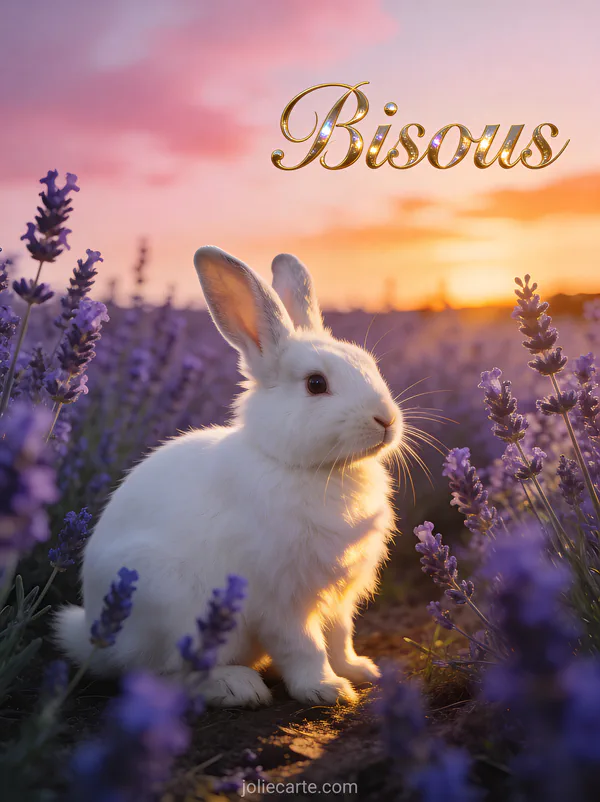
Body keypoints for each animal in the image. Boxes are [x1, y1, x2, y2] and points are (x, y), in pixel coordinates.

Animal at [55, 246, 402, 708]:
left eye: (369, 365)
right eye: (316, 384)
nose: (386, 419)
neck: (309, 468)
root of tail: (94, 633)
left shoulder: (337, 596)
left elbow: (339, 635)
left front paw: (359, 670)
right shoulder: (281, 600)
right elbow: (304, 646)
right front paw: (325, 689)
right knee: (162, 675)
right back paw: (238, 686)